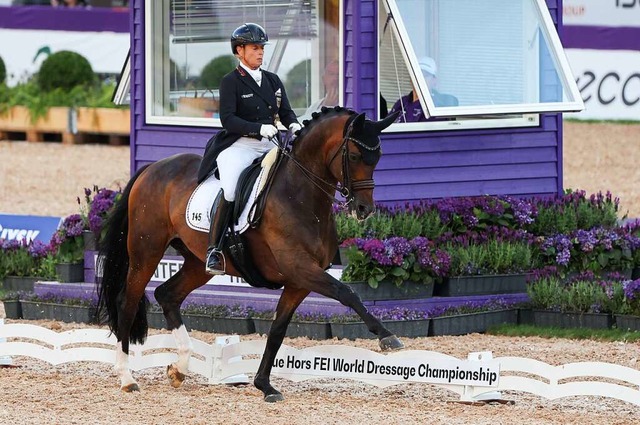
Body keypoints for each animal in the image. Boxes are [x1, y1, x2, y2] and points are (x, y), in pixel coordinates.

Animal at [97, 106, 402, 400]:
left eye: (377, 157)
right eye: (354, 155)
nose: (364, 209)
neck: (299, 194)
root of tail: (152, 168)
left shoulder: (299, 281)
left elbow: (277, 331)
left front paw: (264, 385)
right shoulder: (300, 267)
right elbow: (347, 292)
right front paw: (387, 337)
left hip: (198, 263)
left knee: (167, 295)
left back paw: (179, 369)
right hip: (146, 252)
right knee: (128, 302)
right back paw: (127, 379)